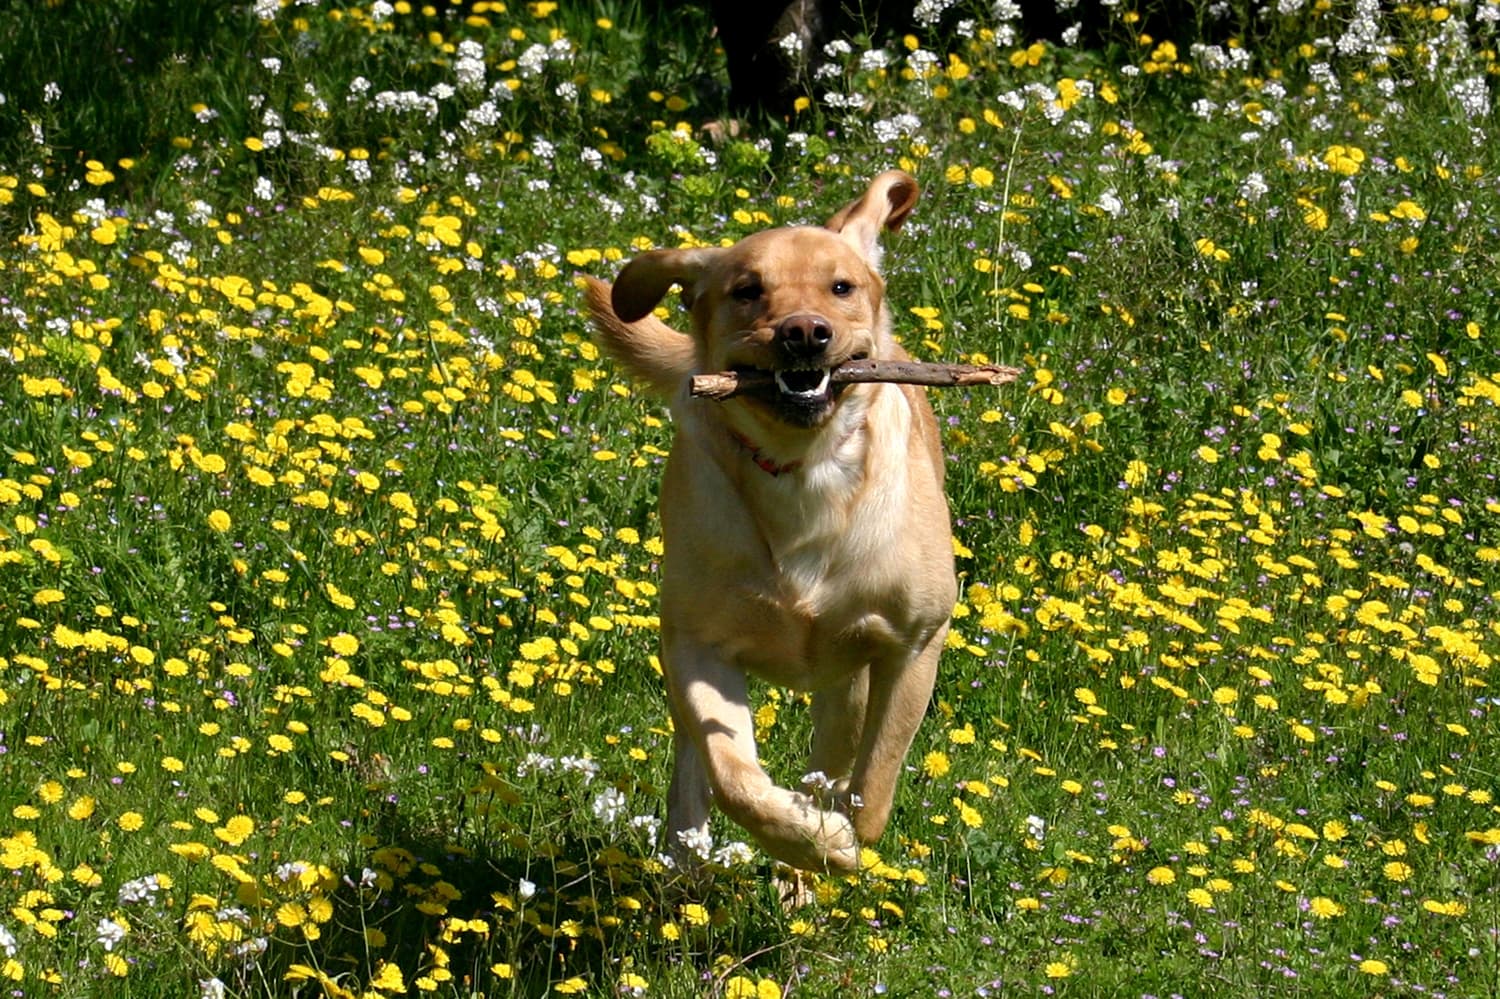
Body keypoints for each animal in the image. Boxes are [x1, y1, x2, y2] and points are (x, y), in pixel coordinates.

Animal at [579, 173, 954, 870]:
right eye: (748, 290)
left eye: (841, 287)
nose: (804, 332)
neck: (803, 470)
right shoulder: (697, 646)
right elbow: (733, 775)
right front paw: (809, 837)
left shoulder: (915, 640)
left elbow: (872, 788)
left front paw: (833, 841)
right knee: (693, 770)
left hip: (847, 683)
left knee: (837, 756)